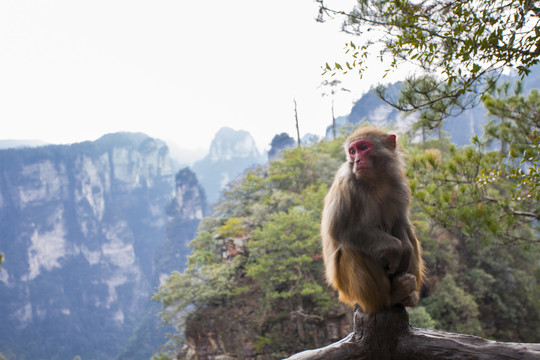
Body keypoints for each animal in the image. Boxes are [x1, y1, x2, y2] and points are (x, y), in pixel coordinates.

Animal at [318, 128, 424, 314]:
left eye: (363, 147)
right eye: (352, 151)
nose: (357, 160)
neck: (376, 180)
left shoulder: (400, 186)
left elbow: (400, 222)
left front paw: (405, 249)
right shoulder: (346, 184)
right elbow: (339, 230)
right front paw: (395, 248)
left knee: (409, 233)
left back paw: (407, 294)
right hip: (349, 291)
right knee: (351, 248)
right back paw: (390, 298)